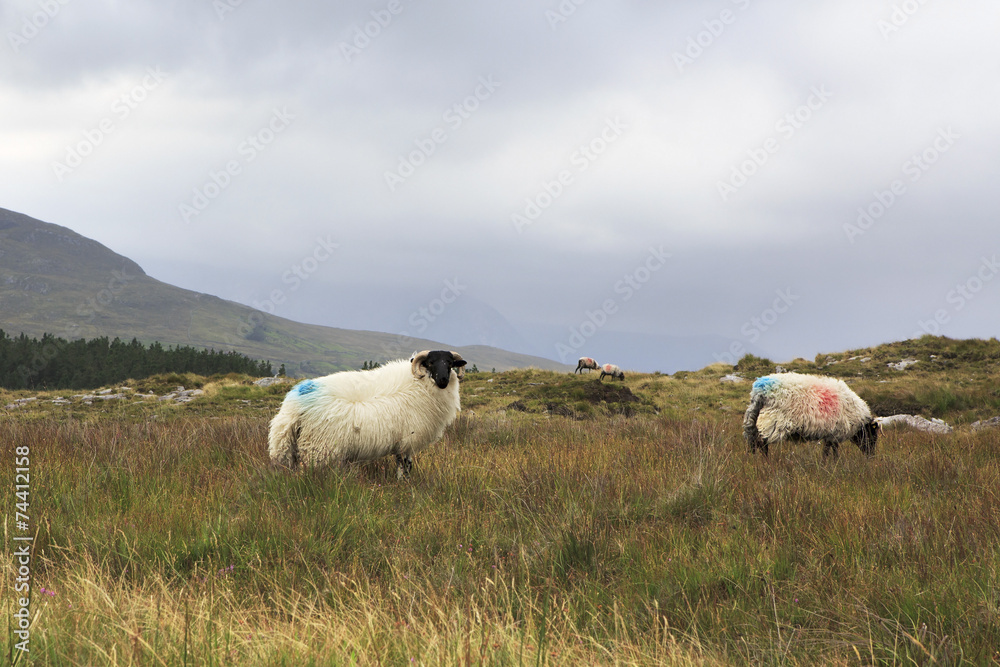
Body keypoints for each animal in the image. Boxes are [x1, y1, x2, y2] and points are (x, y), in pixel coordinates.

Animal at [267, 350, 467, 479]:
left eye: (450, 363)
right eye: (431, 363)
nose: (443, 380)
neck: (419, 385)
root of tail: (294, 405)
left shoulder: (399, 442)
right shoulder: (407, 441)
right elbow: (404, 467)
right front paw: (404, 486)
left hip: (291, 447)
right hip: (318, 449)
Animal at [742, 372, 879, 458]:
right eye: (873, 436)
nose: (871, 456)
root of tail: (761, 389)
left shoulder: (831, 434)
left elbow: (831, 450)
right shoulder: (834, 433)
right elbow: (828, 451)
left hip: (752, 418)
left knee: (753, 442)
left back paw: (754, 460)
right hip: (773, 421)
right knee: (762, 443)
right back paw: (765, 463)